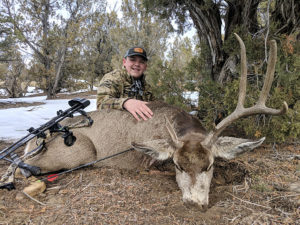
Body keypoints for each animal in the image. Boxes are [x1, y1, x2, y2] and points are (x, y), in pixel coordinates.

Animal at [22, 33, 288, 209]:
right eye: (178, 165)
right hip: (80, 151)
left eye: (210, 165)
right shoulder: (150, 162)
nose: (194, 203)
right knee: (31, 170)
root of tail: (30, 144)